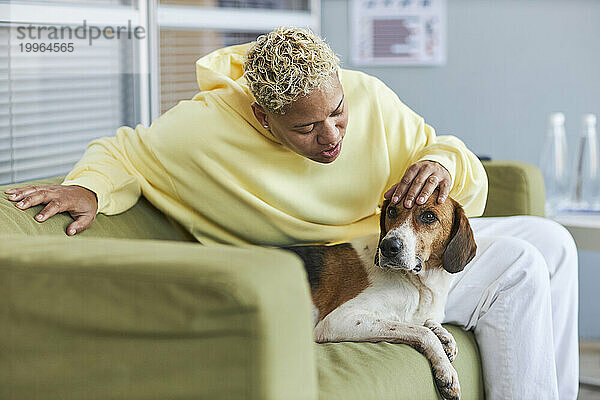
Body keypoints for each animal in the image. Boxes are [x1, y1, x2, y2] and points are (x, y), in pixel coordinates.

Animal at [284, 192, 476, 398]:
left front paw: (445, 336)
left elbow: (428, 324)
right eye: (391, 211)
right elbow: (422, 332)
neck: (418, 284)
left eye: (429, 216)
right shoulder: (338, 320)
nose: (388, 246)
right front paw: (446, 370)